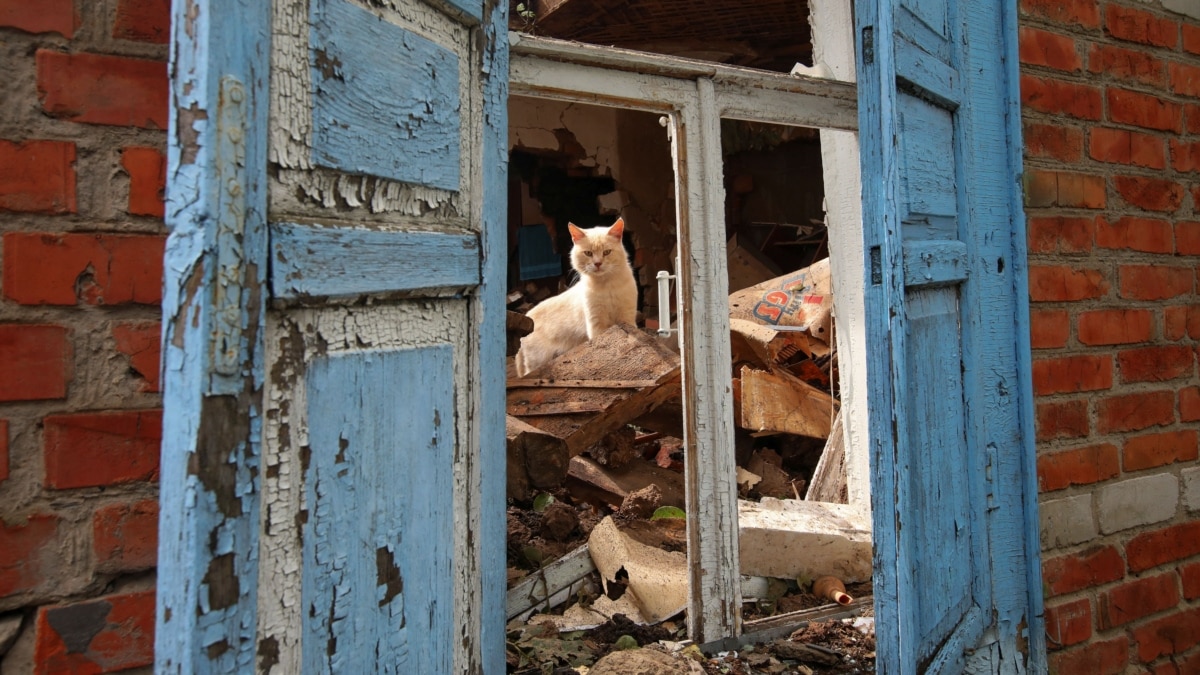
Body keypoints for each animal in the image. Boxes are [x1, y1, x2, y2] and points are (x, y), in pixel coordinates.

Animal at [513, 218, 638, 374]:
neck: (606, 285)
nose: (598, 263)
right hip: (538, 360)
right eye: (588, 253)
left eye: (607, 252)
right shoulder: (597, 324)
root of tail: (527, 316)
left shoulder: (627, 318)